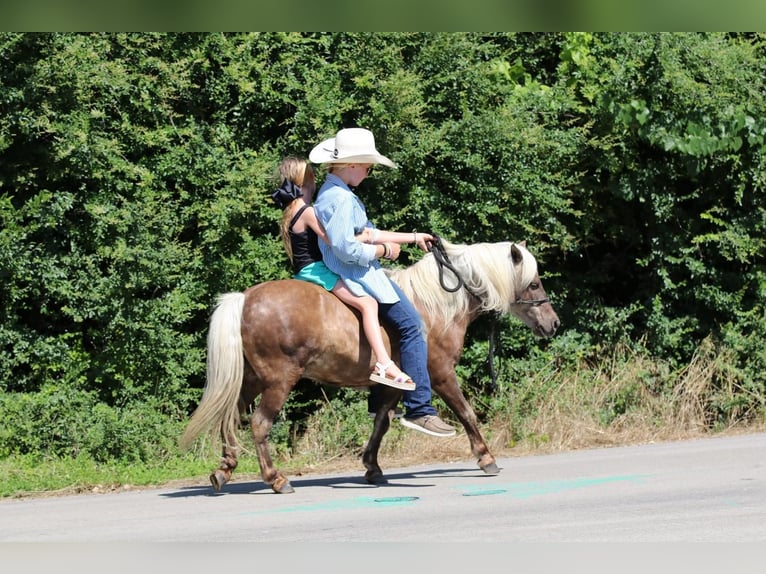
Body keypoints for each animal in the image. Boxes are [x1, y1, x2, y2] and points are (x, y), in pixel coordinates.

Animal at [182, 238, 560, 496]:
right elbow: (466, 413)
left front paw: (372, 468)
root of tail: (245, 299)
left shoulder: (395, 382)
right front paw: (485, 458)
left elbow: (381, 423)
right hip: (277, 380)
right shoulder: (439, 374)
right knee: (259, 424)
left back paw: (223, 471)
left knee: (232, 418)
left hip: (252, 379)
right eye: (534, 282)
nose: (553, 323)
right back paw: (276, 479)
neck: (437, 306)